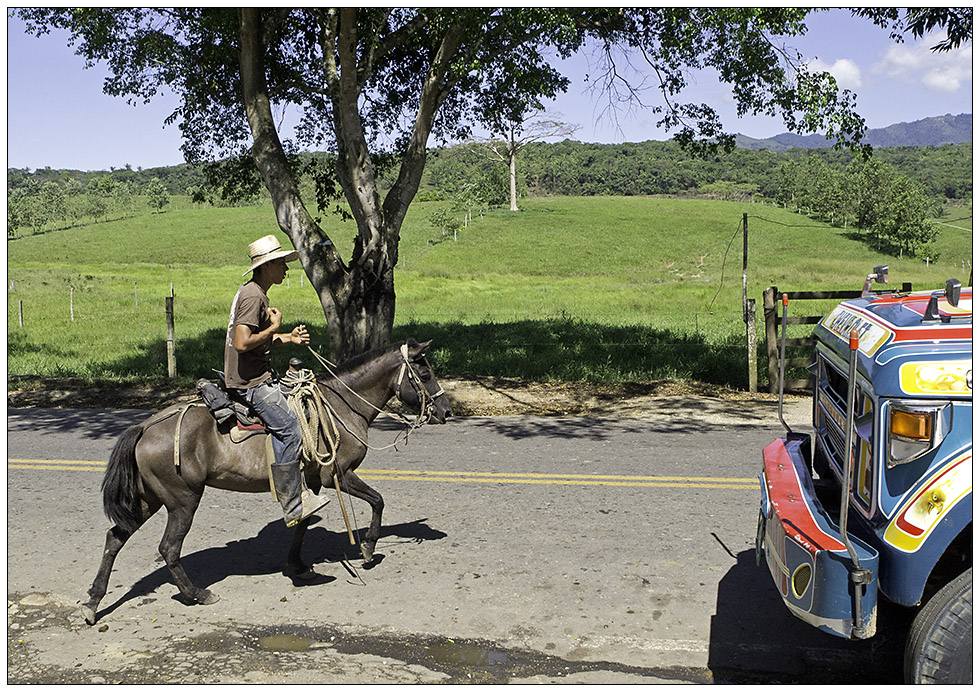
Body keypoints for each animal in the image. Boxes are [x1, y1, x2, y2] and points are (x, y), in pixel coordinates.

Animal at [80, 338, 452, 624]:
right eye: (425, 373)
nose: (446, 411)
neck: (340, 406)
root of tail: (144, 426)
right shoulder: (339, 474)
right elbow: (378, 500)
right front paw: (368, 548)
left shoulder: (311, 481)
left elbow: (302, 521)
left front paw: (298, 565)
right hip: (182, 501)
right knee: (168, 548)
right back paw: (197, 594)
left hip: (150, 499)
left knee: (115, 538)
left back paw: (93, 603)